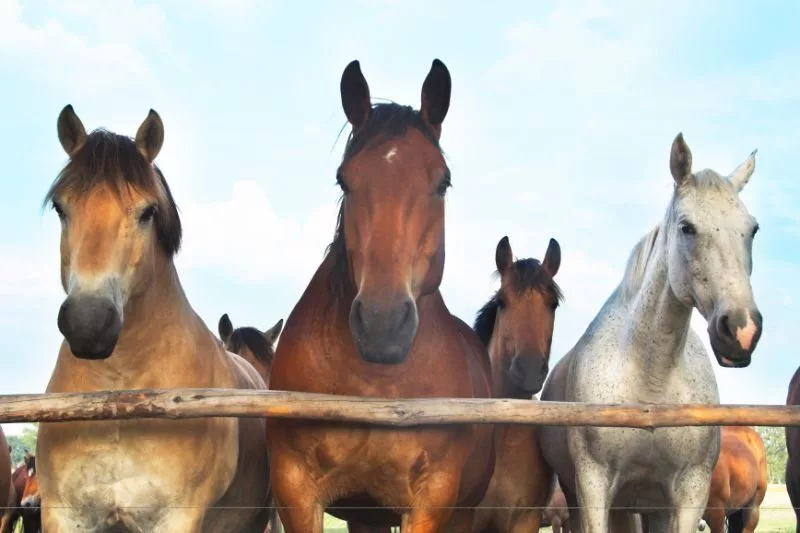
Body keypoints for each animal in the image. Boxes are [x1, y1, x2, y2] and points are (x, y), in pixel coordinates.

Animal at [36, 105, 272, 533]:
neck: (122, 398)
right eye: (61, 208)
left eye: (148, 212)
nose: (88, 322)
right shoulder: (63, 514)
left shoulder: (177, 517)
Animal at [266, 59, 495, 533]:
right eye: (344, 181)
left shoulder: (432, 498)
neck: (376, 386)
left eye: (443, 183)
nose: (382, 324)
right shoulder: (295, 488)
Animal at [538, 132, 762, 533]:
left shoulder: (690, 491)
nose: (741, 330)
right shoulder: (593, 486)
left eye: (752, 229)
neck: (650, 382)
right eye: (687, 227)